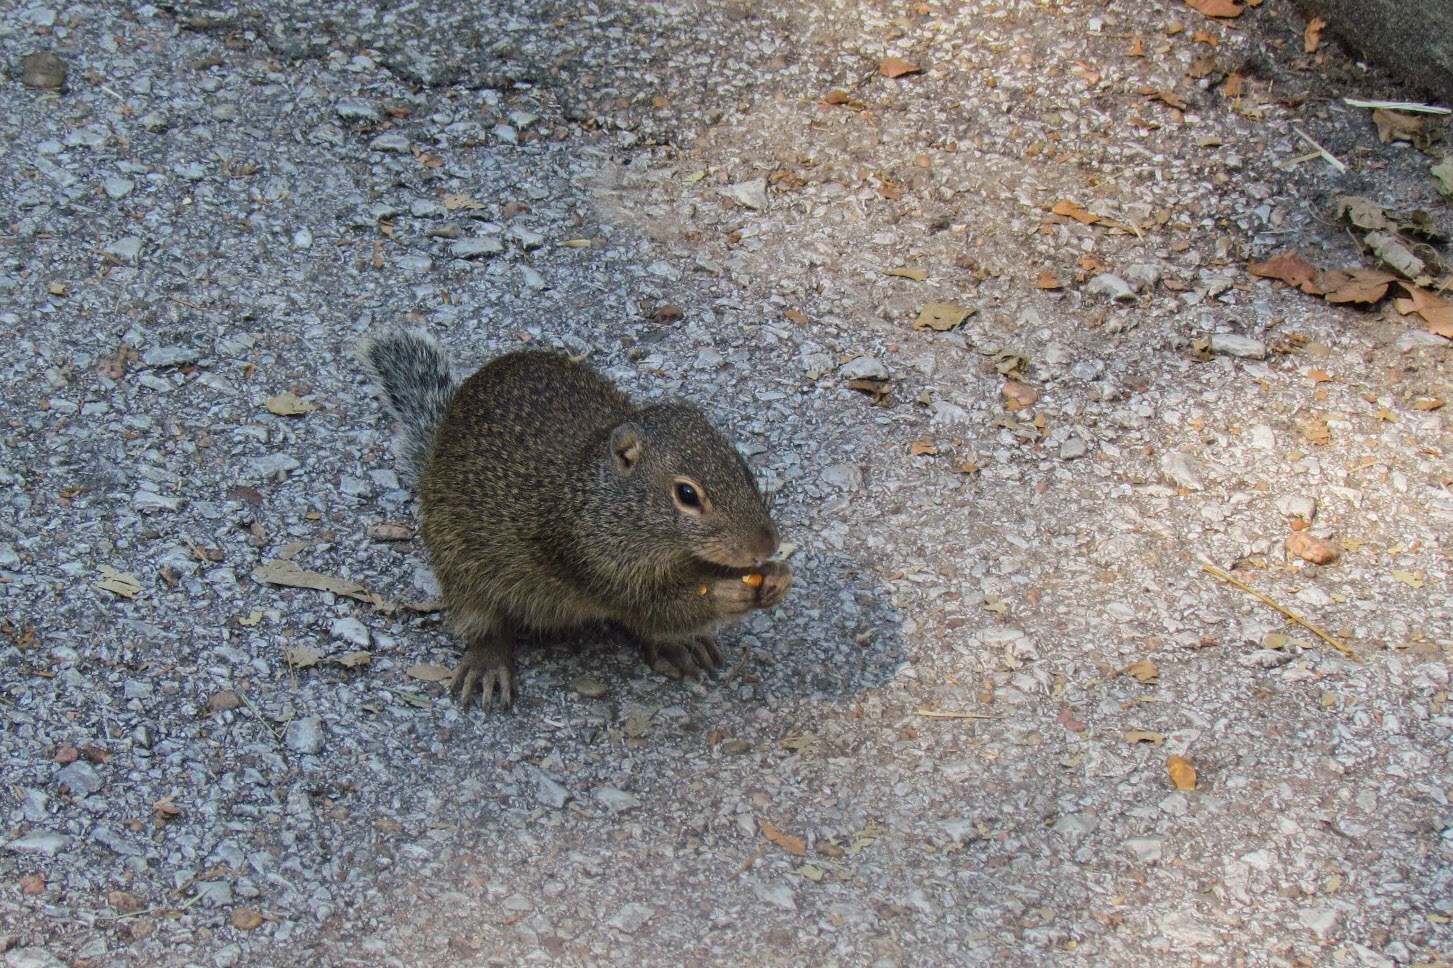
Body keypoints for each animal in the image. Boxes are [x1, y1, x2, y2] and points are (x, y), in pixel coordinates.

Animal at [358, 331, 792, 711]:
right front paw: (727, 594)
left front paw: (777, 575)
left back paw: (679, 645)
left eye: (742, 468)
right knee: (483, 623)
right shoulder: (595, 564)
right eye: (687, 495)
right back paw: (489, 663)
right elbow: (659, 608)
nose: (767, 544)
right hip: (463, 569)